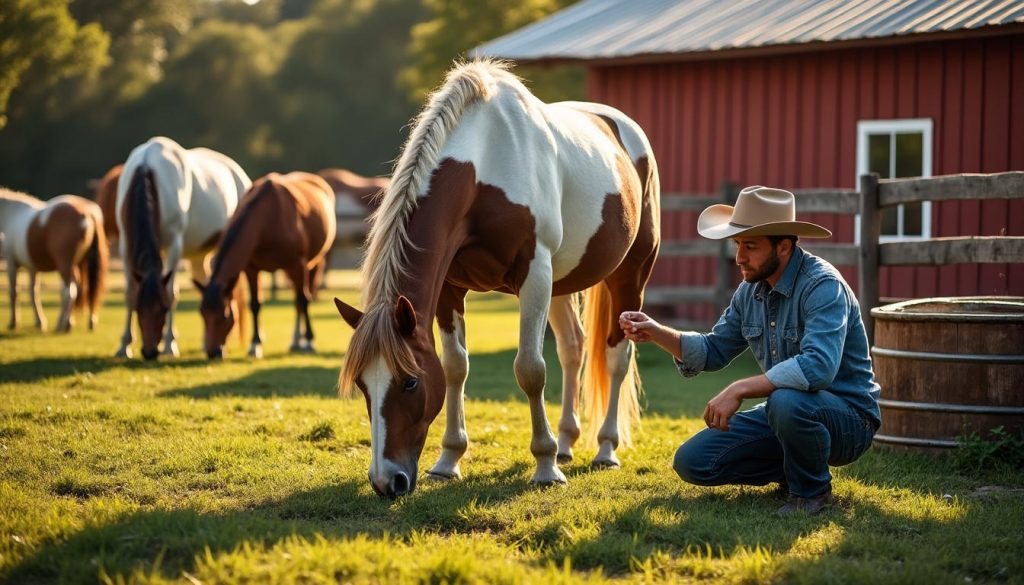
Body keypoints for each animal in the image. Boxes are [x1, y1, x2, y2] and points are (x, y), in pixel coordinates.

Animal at [0, 189, 108, 332]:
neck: (11, 215)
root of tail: (87, 214)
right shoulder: (32, 267)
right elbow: (33, 293)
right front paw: (39, 322)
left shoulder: (11, 262)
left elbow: (14, 292)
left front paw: (13, 323)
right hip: (82, 262)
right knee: (85, 288)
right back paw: (87, 322)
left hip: (64, 263)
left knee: (69, 291)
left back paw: (63, 325)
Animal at [115, 136, 251, 360]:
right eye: (139, 309)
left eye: (163, 309)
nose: (149, 351)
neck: (148, 171)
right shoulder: (126, 246)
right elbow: (129, 293)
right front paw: (124, 346)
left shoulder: (174, 244)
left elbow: (172, 293)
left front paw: (170, 345)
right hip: (198, 258)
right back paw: (207, 343)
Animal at [195, 172, 336, 359]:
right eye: (202, 314)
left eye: (225, 315)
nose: (212, 352)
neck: (268, 218)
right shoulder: (251, 269)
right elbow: (256, 304)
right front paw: (255, 345)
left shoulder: (298, 265)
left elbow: (303, 300)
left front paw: (309, 342)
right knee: (296, 300)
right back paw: (295, 341)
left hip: (312, 264)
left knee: (302, 299)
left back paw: (303, 341)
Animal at [333, 60, 661, 498]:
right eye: (363, 385)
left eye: (410, 383)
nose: (388, 481)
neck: (485, 164)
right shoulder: (451, 288)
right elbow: (455, 366)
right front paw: (449, 459)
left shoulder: (534, 274)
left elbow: (530, 369)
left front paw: (544, 465)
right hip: (561, 284)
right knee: (573, 348)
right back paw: (567, 442)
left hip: (631, 273)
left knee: (617, 356)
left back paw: (605, 448)